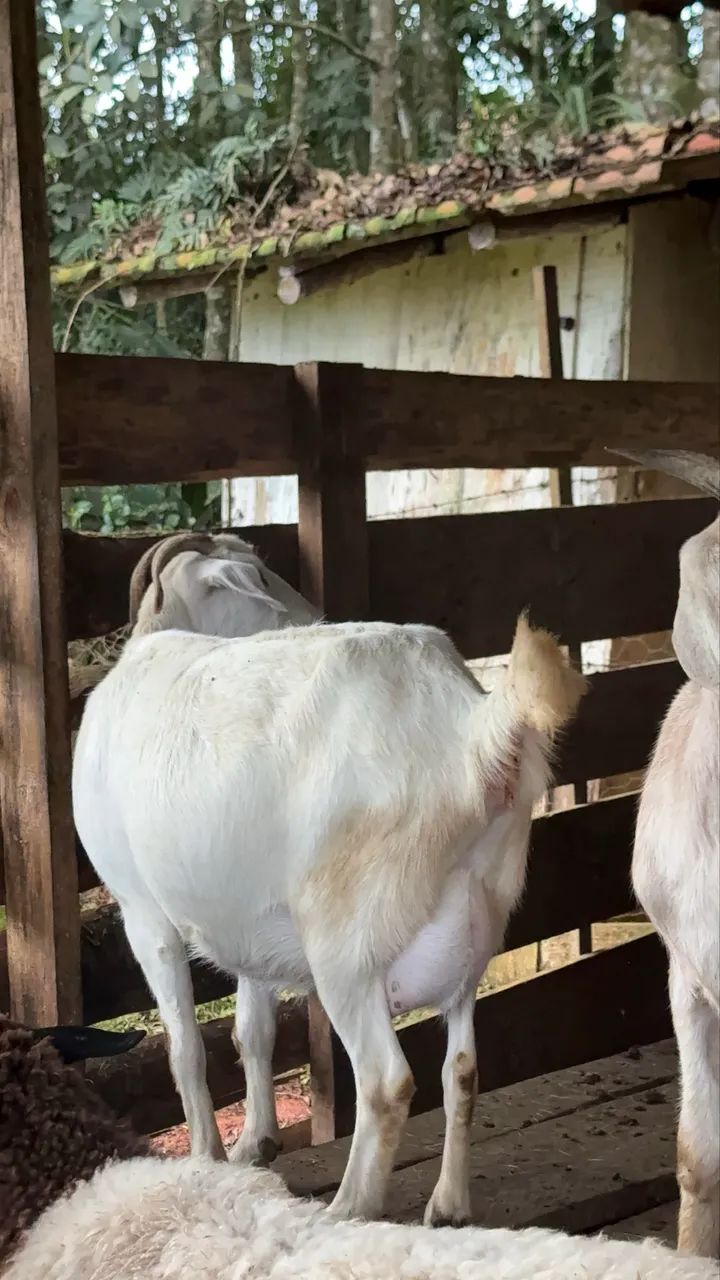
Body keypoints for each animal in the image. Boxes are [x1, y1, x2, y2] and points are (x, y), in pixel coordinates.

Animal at [72, 609, 586, 1225]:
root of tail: (469, 731)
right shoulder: (251, 927)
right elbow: (252, 1032)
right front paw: (254, 1145)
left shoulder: (143, 913)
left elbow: (186, 1051)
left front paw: (206, 1159)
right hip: (477, 925)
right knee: (461, 1068)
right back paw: (448, 1205)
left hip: (347, 943)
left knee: (386, 1082)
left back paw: (347, 1207)